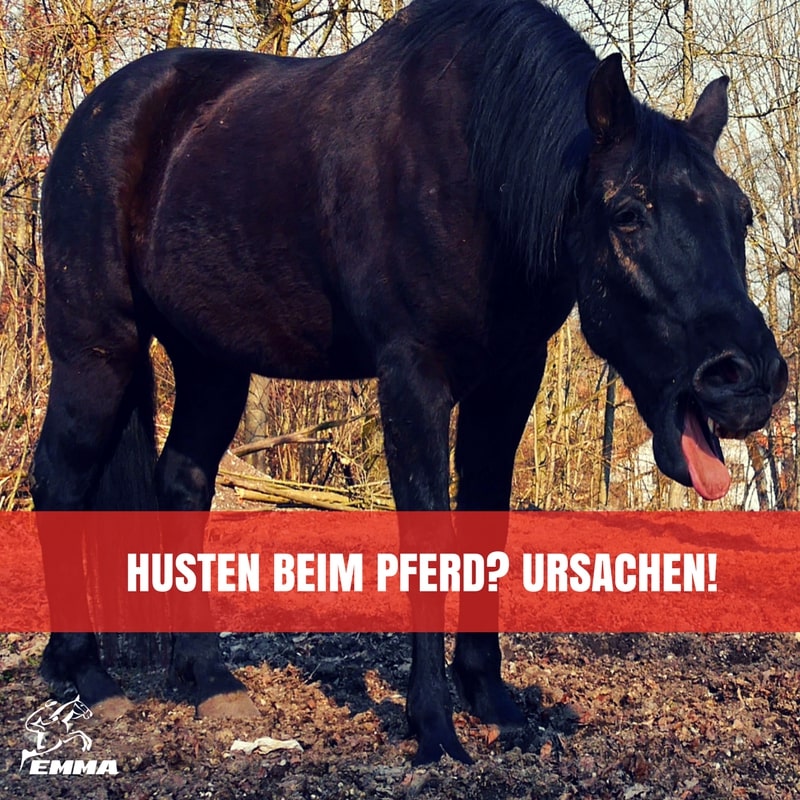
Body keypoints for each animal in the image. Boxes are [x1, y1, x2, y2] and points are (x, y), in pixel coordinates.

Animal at [31, 0, 787, 765]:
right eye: (629, 214)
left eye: (741, 214)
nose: (748, 380)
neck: (479, 170)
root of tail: (94, 116)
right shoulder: (412, 381)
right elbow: (428, 535)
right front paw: (434, 728)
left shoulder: (508, 383)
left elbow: (485, 530)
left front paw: (494, 702)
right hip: (97, 351)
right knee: (60, 479)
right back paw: (84, 674)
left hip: (210, 364)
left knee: (182, 482)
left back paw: (208, 678)